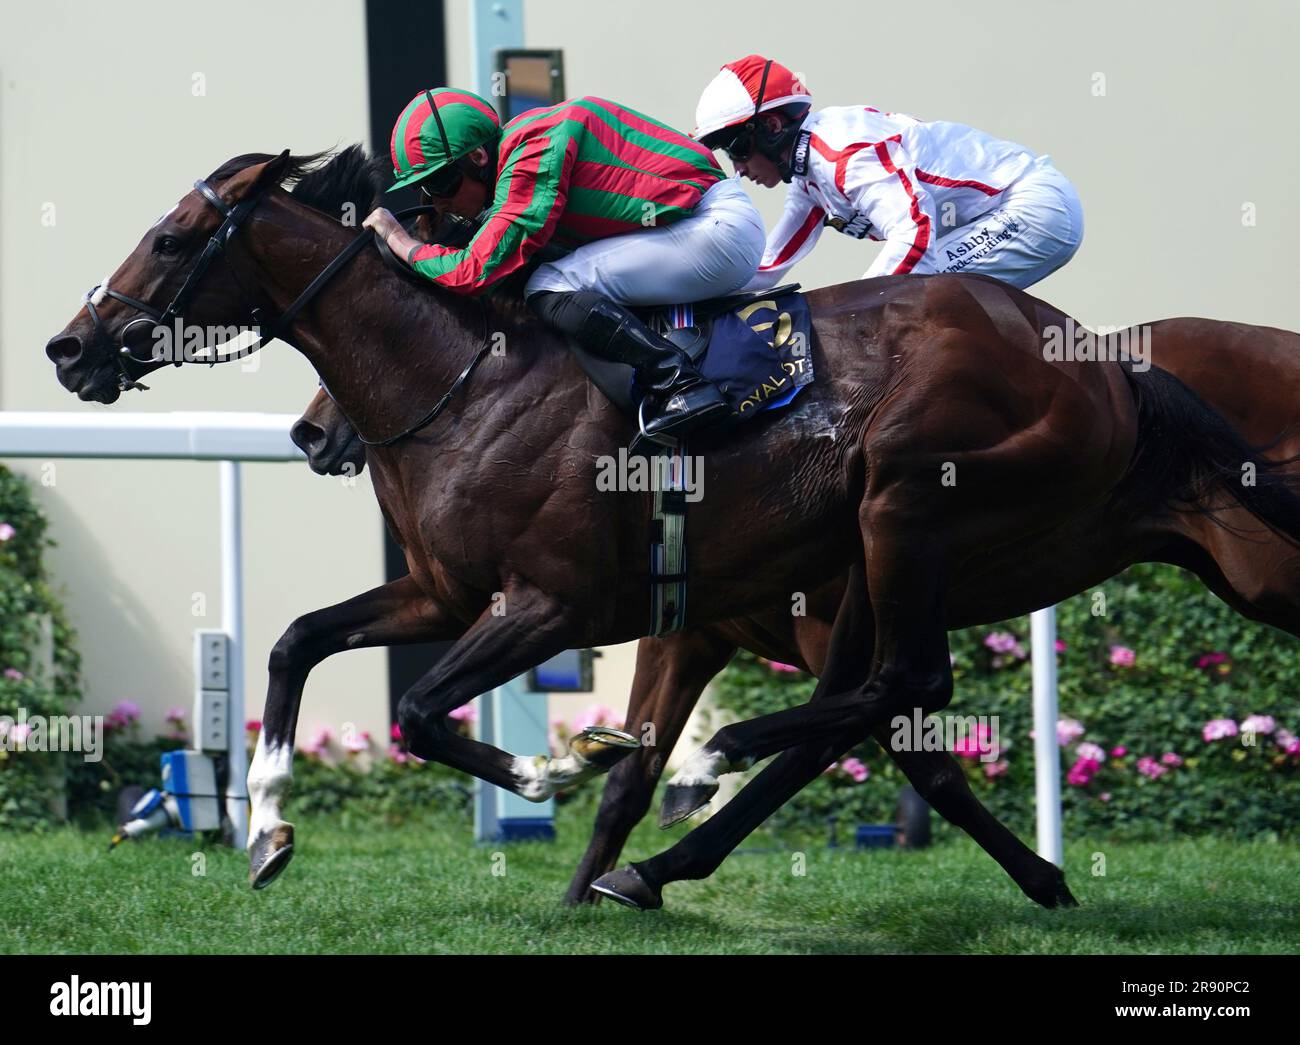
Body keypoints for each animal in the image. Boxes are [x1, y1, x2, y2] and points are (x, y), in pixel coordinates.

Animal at [43, 144, 1300, 904]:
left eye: (170, 238)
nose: (68, 346)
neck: (465, 380)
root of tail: (1104, 361)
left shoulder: (554, 604)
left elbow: (423, 710)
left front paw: (557, 767)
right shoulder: (455, 593)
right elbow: (300, 640)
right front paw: (265, 829)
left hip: (902, 492)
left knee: (905, 685)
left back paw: (714, 763)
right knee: (886, 699)